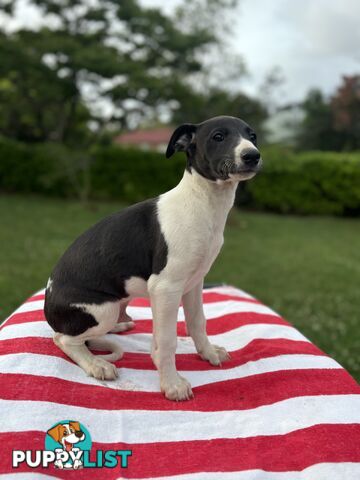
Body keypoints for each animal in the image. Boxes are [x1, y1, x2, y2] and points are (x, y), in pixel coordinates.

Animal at [45, 116, 262, 402]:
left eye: (253, 136)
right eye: (218, 136)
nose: (253, 155)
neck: (204, 204)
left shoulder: (194, 282)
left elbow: (197, 321)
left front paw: (207, 353)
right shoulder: (165, 288)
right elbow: (168, 340)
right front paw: (171, 383)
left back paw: (119, 328)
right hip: (104, 309)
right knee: (64, 339)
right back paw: (96, 363)